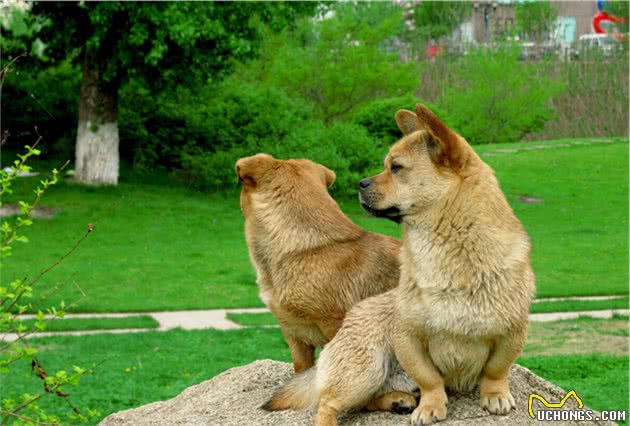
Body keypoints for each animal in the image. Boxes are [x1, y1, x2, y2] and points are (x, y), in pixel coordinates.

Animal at [264, 104, 536, 426]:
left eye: (395, 167)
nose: (360, 183)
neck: (449, 259)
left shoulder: (512, 332)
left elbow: (496, 369)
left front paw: (494, 395)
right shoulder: (407, 337)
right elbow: (430, 378)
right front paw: (431, 406)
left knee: (365, 402)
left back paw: (398, 400)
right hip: (365, 370)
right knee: (327, 403)